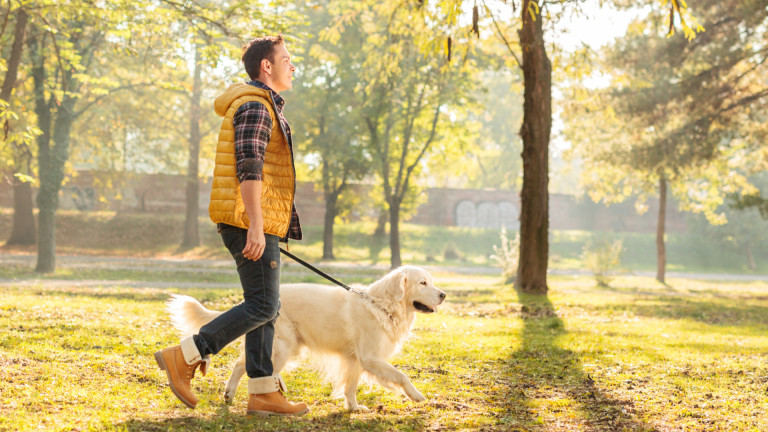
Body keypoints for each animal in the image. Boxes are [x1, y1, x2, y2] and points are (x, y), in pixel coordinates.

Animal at [165, 264, 448, 410]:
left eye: (431, 281)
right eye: (423, 283)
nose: (444, 294)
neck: (381, 304)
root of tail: (254, 302)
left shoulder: (355, 360)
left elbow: (351, 386)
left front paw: (353, 408)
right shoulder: (370, 357)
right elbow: (401, 376)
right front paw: (416, 395)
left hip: (286, 349)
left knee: (246, 366)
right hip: (283, 348)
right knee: (242, 366)